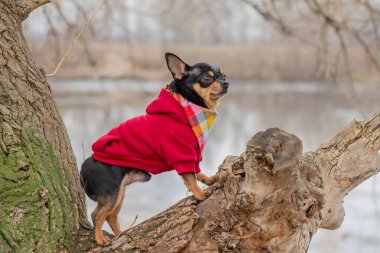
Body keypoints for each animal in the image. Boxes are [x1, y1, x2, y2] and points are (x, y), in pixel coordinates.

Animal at [80, 52, 229, 245]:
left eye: (223, 75)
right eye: (207, 78)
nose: (226, 82)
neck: (186, 106)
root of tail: (83, 169)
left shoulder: (191, 153)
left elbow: (196, 170)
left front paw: (208, 179)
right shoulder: (180, 153)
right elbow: (190, 177)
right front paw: (200, 194)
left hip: (119, 193)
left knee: (111, 217)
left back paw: (121, 235)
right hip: (111, 194)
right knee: (96, 215)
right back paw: (100, 238)